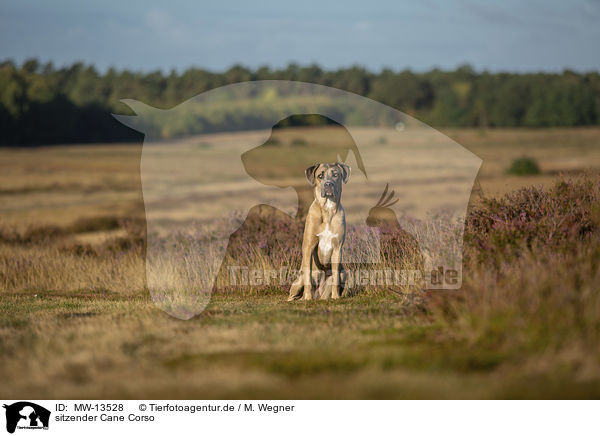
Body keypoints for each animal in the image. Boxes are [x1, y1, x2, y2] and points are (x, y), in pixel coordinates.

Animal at [288, 160, 350, 300]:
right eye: (320, 176)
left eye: (335, 175)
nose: (328, 184)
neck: (328, 210)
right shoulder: (308, 246)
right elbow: (307, 277)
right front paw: (307, 298)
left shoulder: (337, 248)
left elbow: (335, 277)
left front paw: (336, 297)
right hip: (300, 280)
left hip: (344, 273)